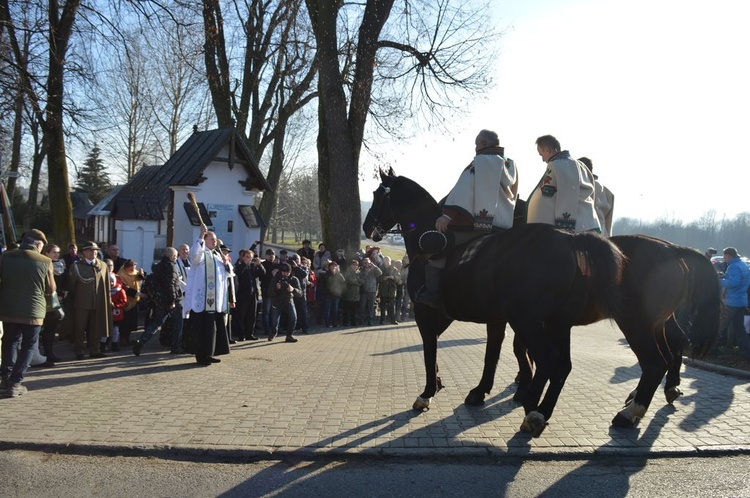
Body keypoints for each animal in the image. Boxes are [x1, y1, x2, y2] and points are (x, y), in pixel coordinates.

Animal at [364, 170, 628, 436]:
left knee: (547, 359)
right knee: (562, 365)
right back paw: (542, 410)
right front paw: (465, 388)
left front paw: (427, 393)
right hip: (558, 323)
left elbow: (430, 348)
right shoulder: (481, 317)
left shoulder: (425, 310)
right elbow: (488, 353)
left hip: (528, 321)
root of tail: (571, 240)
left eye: (377, 195)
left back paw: (532, 409)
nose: (366, 227)